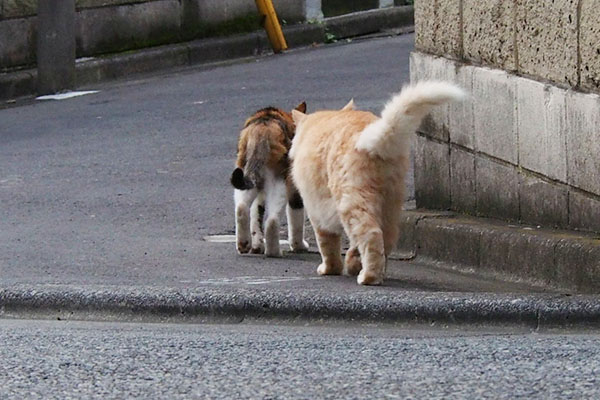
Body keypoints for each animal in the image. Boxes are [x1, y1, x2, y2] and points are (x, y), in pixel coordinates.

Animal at [231, 103, 310, 258]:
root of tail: (261, 131)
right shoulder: (294, 189)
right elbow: (296, 217)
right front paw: (299, 246)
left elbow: (256, 214)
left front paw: (257, 247)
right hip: (279, 182)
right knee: (272, 220)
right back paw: (274, 251)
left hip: (245, 174)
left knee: (242, 207)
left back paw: (244, 244)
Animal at [290, 82, 464, 284]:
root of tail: (374, 137)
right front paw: (351, 262)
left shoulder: (317, 211)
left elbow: (327, 245)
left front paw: (330, 269)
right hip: (389, 204)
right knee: (386, 240)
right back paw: (369, 270)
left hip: (351, 201)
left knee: (371, 235)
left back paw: (368, 276)